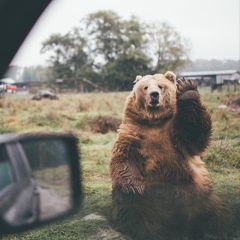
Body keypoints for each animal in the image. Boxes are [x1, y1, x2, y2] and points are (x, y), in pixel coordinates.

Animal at [109, 71, 232, 240]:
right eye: (145, 87)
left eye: (161, 86)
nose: (154, 95)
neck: (154, 121)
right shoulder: (134, 134)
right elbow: (124, 158)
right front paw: (133, 186)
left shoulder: (176, 135)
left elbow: (194, 134)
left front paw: (187, 90)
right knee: (133, 211)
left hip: (203, 197)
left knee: (217, 215)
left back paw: (213, 232)